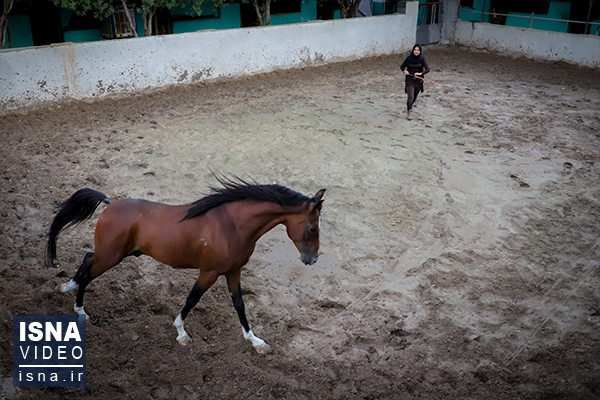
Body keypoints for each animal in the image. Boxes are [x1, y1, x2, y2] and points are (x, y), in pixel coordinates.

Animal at [47, 179, 326, 354]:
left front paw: (255, 341)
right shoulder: (209, 273)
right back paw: (80, 311)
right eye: (313, 228)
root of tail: (110, 202)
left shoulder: (233, 271)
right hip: (111, 256)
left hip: (112, 253)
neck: (232, 226)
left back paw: (64, 287)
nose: (312, 260)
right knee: (88, 274)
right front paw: (181, 333)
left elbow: (239, 305)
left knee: (87, 259)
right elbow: (192, 299)